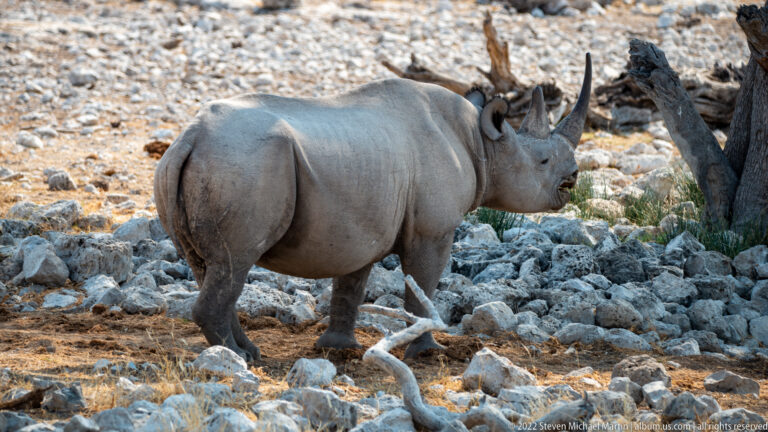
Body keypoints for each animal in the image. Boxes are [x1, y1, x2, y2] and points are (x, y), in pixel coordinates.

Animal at [154, 54, 592, 361]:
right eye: (543, 162)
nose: (572, 177)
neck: (484, 145)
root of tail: (190, 138)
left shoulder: (362, 225)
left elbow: (350, 285)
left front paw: (338, 348)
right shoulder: (433, 231)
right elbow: (422, 289)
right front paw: (428, 352)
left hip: (202, 166)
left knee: (211, 266)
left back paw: (248, 352)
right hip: (243, 164)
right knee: (235, 262)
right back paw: (236, 359)